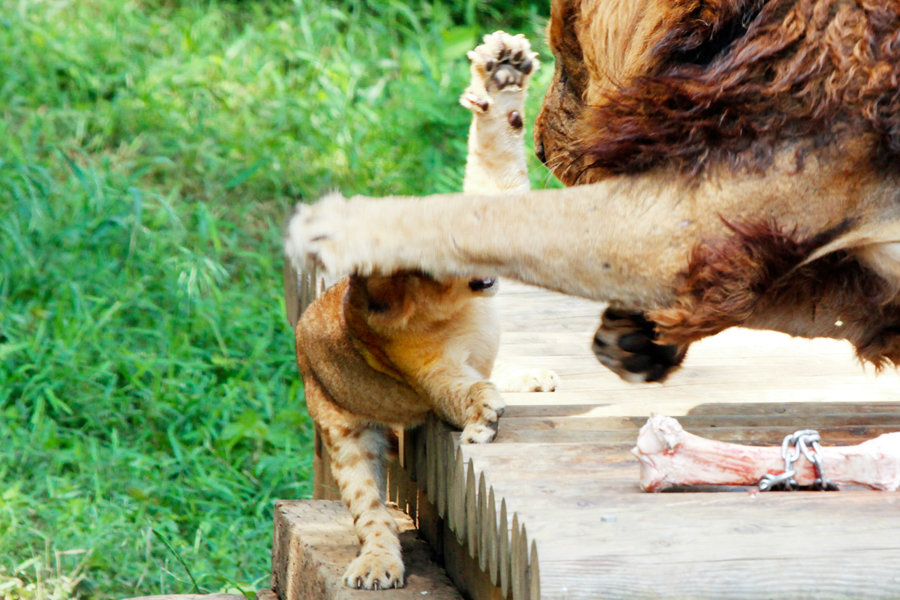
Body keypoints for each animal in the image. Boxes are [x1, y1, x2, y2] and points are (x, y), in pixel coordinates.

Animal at [286, 0, 900, 382]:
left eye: (569, 58)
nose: (539, 151)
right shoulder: (854, 283)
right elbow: (792, 299)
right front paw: (640, 340)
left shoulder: (693, 221)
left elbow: (487, 217)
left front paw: (338, 226)